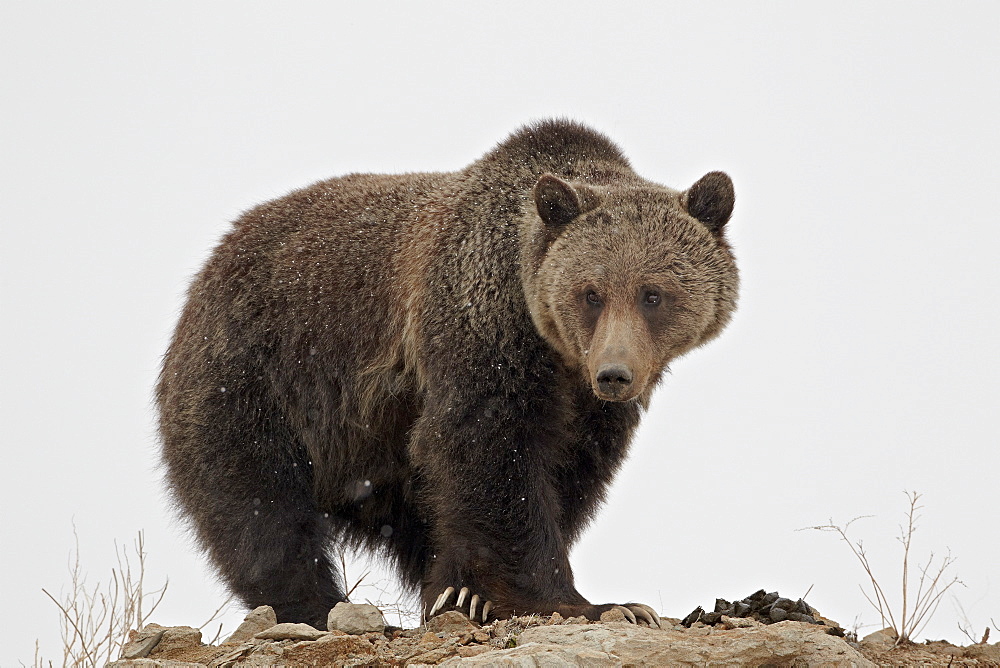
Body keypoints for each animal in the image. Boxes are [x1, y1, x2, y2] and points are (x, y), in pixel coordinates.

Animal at [156, 118, 736, 628]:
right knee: (259, 507)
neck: (555, 353)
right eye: (591, 293)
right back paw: (314, 606)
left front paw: (465, 593)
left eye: (652, 294)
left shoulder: (588, 407)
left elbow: (568, 472)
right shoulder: (478, 331)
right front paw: (585, 602)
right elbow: (491, 453)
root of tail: (207, 268)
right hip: (259, 374)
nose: (615, 374)